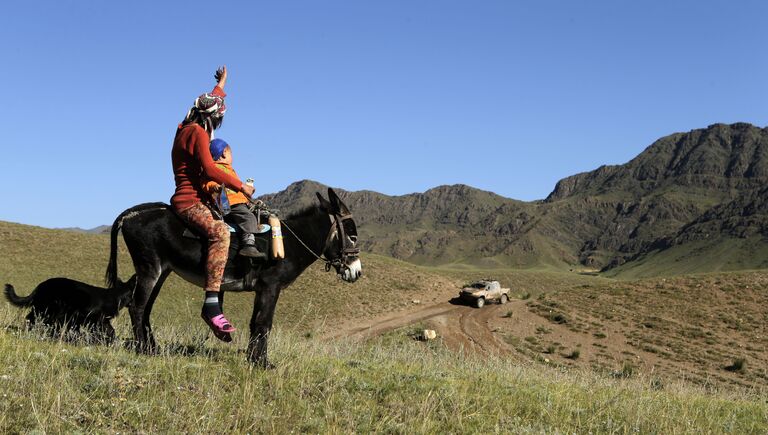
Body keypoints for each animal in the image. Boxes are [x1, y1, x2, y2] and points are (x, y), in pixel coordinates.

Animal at [4, 276, 136, 344]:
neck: (115, 296)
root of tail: (39, 286)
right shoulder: (90, 318)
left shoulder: (100, 321)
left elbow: (111, 330)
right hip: (49, 309)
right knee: (33, 319)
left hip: (46, 309)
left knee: (33, 319)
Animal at [103, 188, 364, 368]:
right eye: (352, 236)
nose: (357, 272)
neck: (290, 243)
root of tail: (131, 214)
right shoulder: (271, 286)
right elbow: (264, 323)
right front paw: (263, 364)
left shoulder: (261, 290)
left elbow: (254, 323)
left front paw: (253, 359)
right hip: (150, 267)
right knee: (137, 307)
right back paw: (143, 350)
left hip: (161, 271)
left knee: (145, 308)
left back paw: (152, 348)